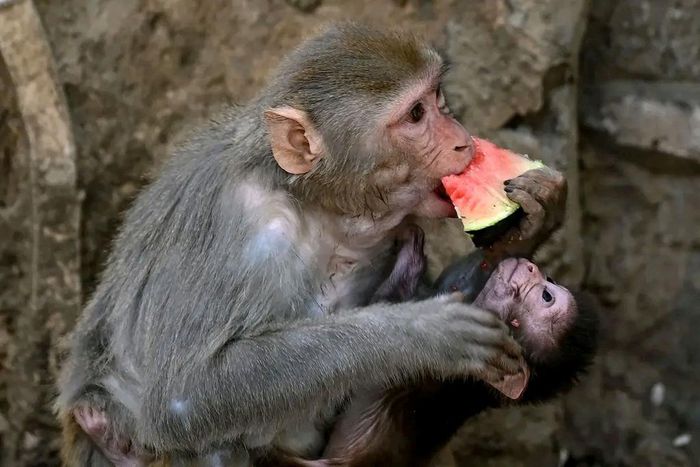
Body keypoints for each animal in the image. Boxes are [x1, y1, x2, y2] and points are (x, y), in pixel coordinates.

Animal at [55, 23, 567, 466]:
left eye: (437, 99)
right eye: (416, 115)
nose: (464, 143)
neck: (319, 208)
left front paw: (532, 224)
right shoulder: (235, 223)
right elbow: (182, 394)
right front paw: (421, 333)